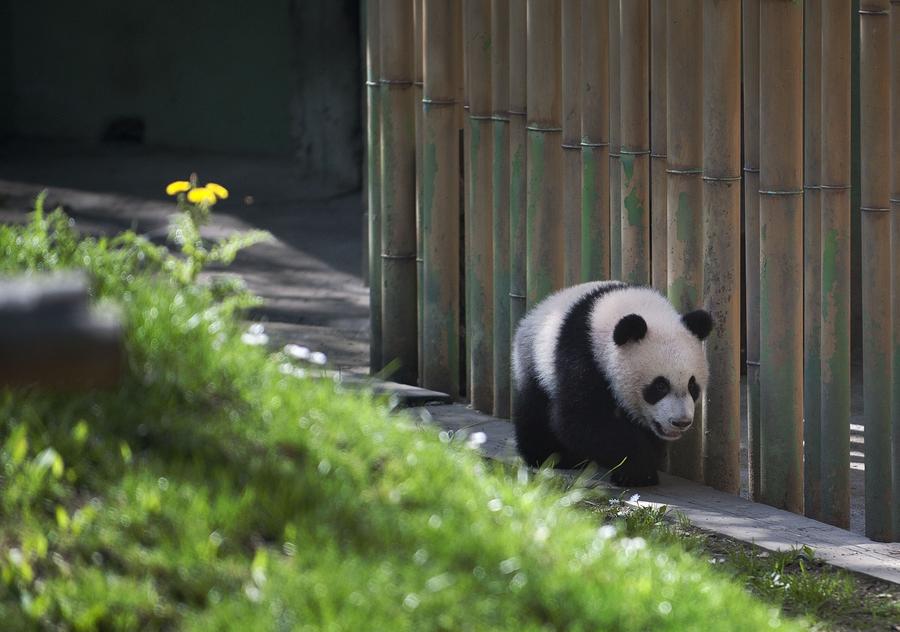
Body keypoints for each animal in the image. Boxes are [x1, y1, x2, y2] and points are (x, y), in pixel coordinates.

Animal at [510, 282, 712, 488]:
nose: (681, 422)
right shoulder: (581, 354)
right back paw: (553, 457)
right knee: (534, 408)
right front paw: (638, 470)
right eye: (660, 386)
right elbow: (582, 418)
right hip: (534, 360)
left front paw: (640, 469)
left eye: (692, 386)